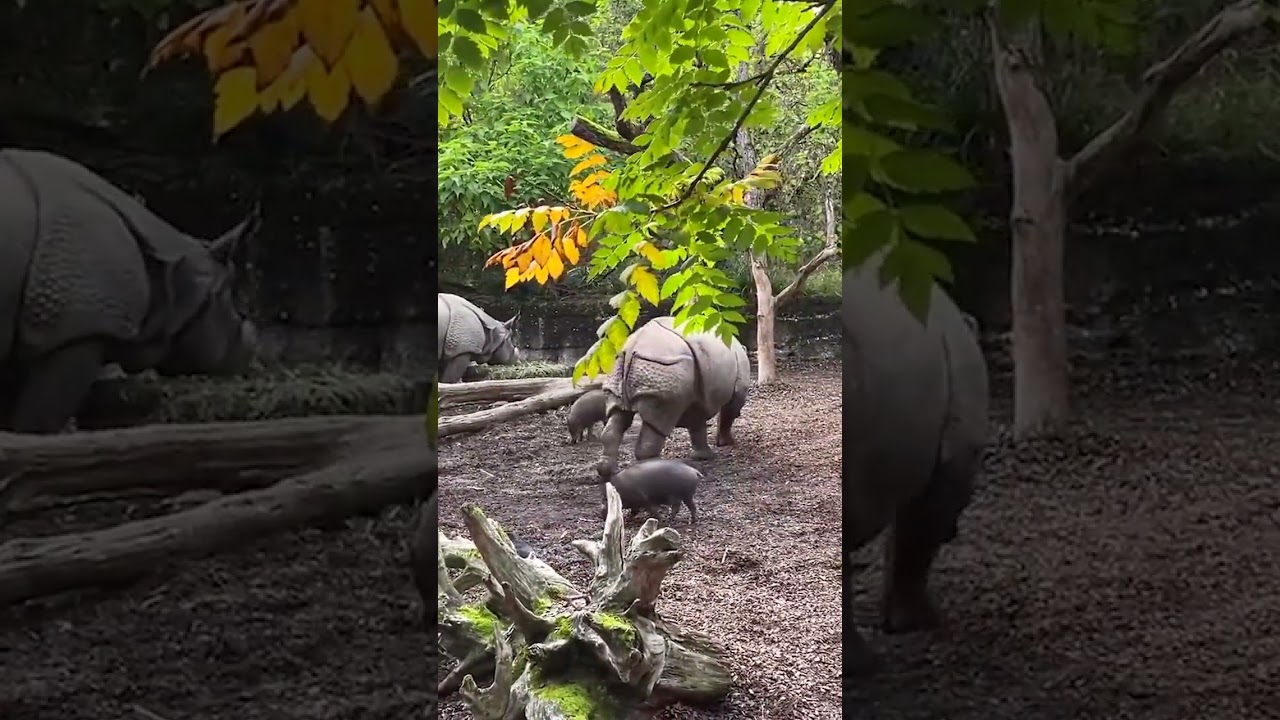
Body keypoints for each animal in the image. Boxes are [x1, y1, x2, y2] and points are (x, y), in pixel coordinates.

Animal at [597, 316, 751, 478]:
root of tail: (632, 347)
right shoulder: (738, 388)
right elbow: (729, 412)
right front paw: (727, 443)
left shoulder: (696, 394)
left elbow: (697, 425)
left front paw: (704, 457)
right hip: (664, 366)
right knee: (659, 419)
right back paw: (656, 469)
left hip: (619, 367)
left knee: (618, 415)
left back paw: (608, 472)